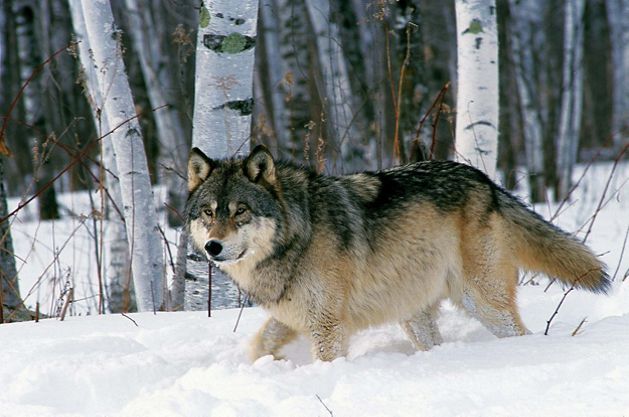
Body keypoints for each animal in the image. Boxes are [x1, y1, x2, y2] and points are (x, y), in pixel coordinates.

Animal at [185, 145, 608, 360]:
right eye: (208, 213)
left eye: (240, 211)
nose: (213, 247)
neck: (296, 234)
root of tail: (486, 181)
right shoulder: (296, 314)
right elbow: (259, 345)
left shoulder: (328, 324)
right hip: (413, 313)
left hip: (480, 299)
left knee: (517, 331)